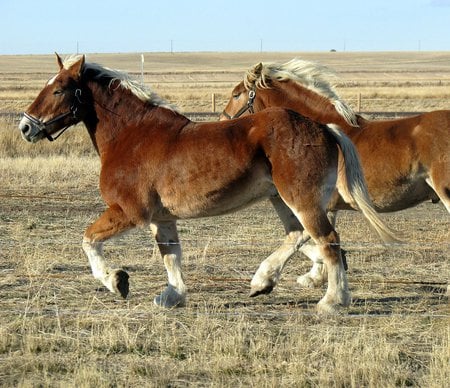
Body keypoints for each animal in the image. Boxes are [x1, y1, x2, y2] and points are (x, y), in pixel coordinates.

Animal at [20, 54, 394, 314]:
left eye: (58, 89)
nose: (26, 127)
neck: (132, 135)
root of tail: (325, 128)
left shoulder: (128, 211)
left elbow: (89, 241)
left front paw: (117, 281)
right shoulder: (162, 219)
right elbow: (171, 254)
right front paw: (172, 295)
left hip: (300, 198)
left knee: (328, 241)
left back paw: (333, 301)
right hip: (282, 199)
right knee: (298, 235)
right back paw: (262, 281)